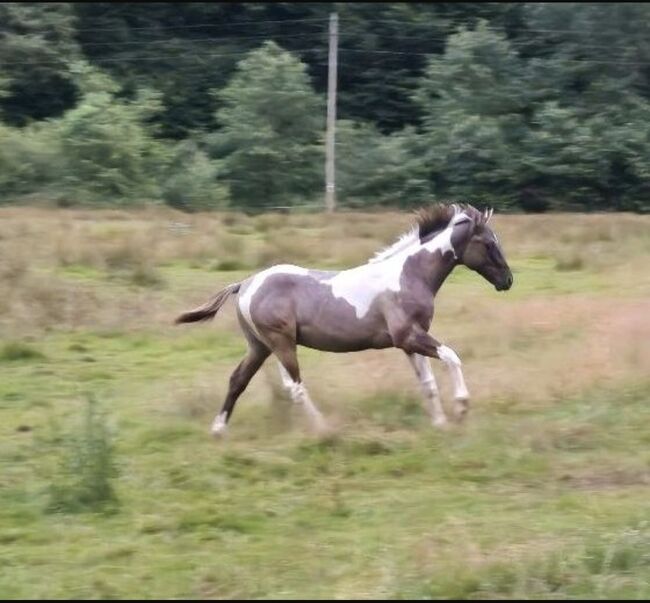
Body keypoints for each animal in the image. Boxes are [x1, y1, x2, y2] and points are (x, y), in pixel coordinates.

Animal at [174, 203, 513, 437]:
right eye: (488, 243)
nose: (508, 280)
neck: (409, 274)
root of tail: (245, 283)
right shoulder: (408, 336)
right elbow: (453, 357)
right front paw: (462, 407)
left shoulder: (410, 342)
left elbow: (427, 383)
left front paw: (440, 424)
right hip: (281, 343)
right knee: (295, 386)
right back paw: (324, 429)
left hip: (259, 346)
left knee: (238, 380)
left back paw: (218, 430)